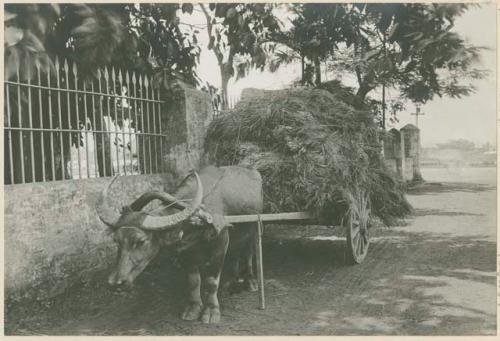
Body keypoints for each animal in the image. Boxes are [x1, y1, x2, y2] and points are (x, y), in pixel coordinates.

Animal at [95, 166, 264, 322]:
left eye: (140, 241)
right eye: (116, 240)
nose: (115, 283)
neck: (196, 220)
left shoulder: (221, 242)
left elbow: (211, 281)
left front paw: (211, 311)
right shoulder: (185, 250)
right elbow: (193, 281)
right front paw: (193, 308)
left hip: (253, 227)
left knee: (249, 251)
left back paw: (251, 281)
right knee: (236, 252)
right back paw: (231, 280)